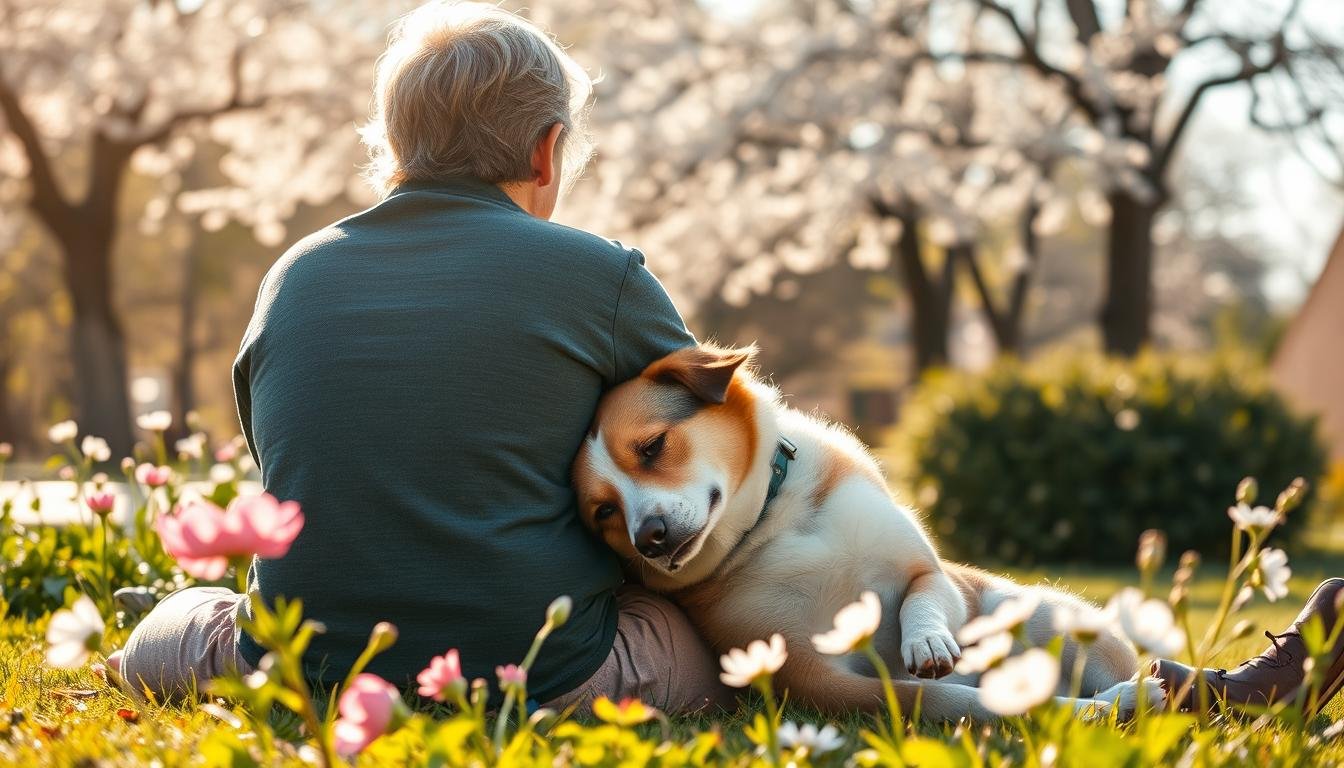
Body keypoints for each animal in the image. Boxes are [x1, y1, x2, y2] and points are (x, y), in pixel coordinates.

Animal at [572, 344, 1161, 720]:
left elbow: (922, 598)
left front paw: (927, 641)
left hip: (1042, 614)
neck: (772, 523)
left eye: (652, 447)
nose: (648, 536)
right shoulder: (817, 680)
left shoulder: (932, 575)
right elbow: (945, 699)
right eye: (603, 513)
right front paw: (1081, 713)